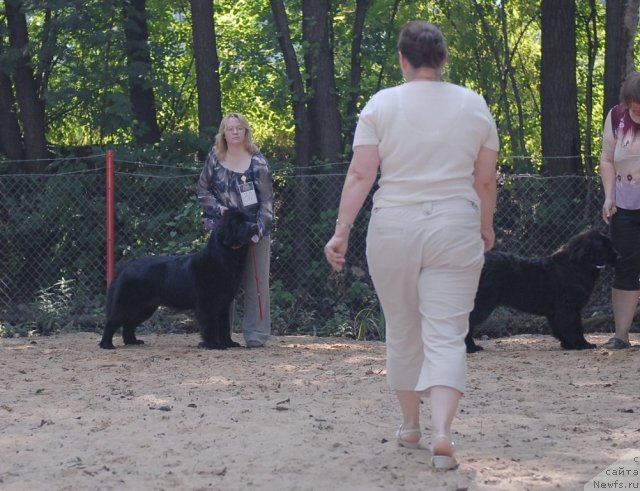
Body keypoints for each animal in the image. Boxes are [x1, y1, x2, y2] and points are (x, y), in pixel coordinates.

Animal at [99, 209, 254, 352]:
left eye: (248, 220)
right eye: (239, 223)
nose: (254, 226)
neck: (223, 259)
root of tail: (127, 265)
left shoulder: (223, 304)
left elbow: (224, 326)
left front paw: (229, 343)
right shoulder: (207, 304)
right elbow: (211, 326)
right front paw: (215, 345)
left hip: (145, 308)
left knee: (129, 324)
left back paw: (132, 341)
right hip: (128, 304)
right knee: (112, 321)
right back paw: (107, 344)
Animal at [468, 231, 616, 354]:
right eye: (604, 246)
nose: (618, 255)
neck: (576, 266)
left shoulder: (556, 312)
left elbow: (560, 328)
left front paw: (567, 345)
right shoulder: (569, 308)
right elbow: (574, 328)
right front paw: (582, 344)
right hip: (483, 303)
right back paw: (471, 348)